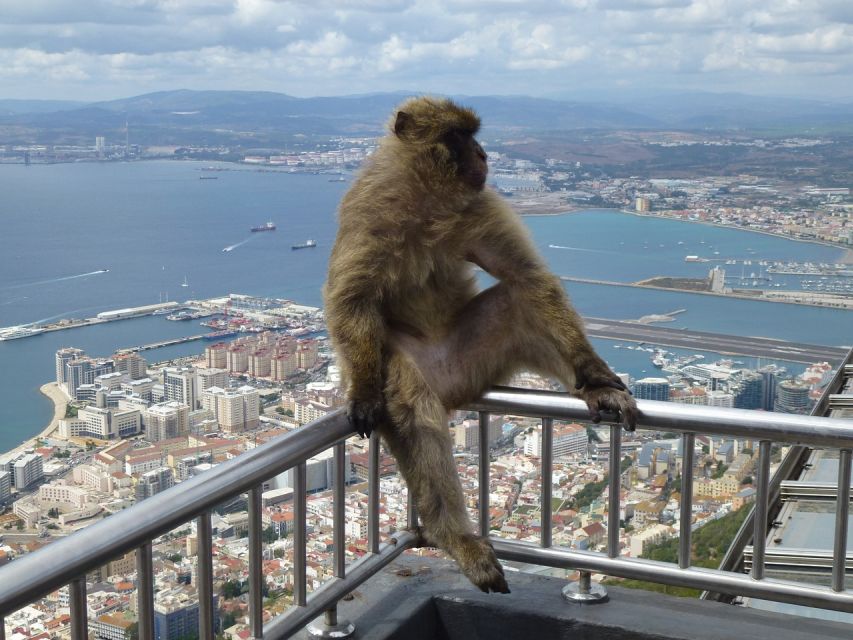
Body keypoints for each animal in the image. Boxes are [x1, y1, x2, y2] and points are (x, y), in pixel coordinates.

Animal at [323, 96, 638, 594]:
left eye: (475, 135)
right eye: (459, 135)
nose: (484, 155)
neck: (426, 199)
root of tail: (455, 389)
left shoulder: (480, 204)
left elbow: (527, 277)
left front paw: (593, 371)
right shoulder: (369, 209)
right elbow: (351, 300)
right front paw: (364, 391)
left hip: (479, 355)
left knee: (519, 299)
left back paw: (592, 386)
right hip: (406, 360)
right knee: (412, 407)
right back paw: (452, 534)